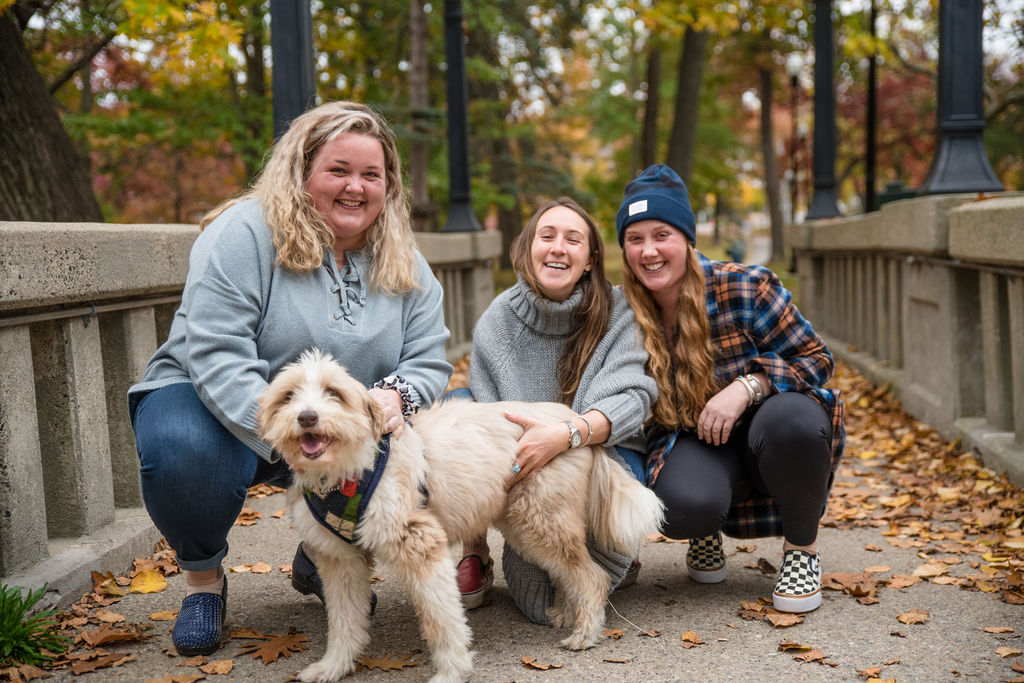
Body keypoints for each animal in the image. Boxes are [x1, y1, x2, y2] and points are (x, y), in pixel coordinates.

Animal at [258, 352, 663, 683]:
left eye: (333, 393)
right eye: (288, 396)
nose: (307, 417)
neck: (348, 471)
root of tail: (571, 419)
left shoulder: (423, 547)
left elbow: (442, 618)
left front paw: (452, 670)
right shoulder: (340, 562)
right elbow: (343, 622)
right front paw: (333, 667)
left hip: (541, 522)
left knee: (591, 576)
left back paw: (585, 633)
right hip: (532, 526)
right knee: (573, 572)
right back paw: (567, 612)